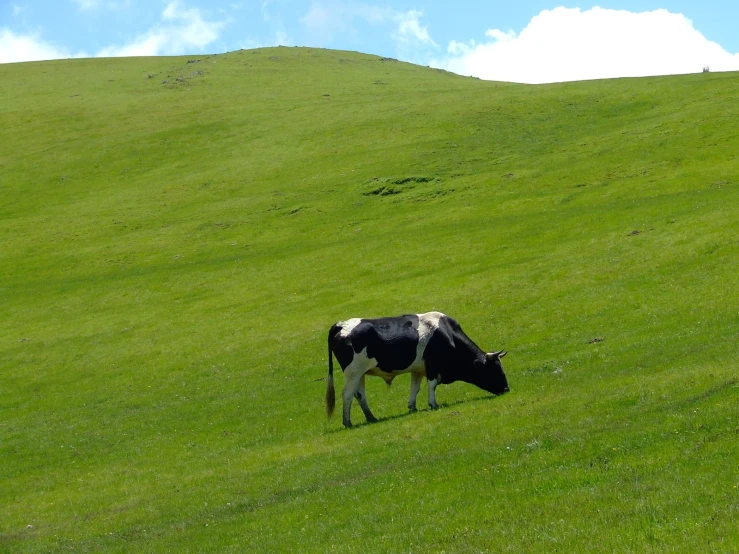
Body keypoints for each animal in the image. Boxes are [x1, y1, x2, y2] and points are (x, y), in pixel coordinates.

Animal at [326, 310, 512, 426]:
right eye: (495, 370)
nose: (506, 389)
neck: (447, 336)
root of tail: (341, 324)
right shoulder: (432, 367)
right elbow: (432, 385)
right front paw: (433, 404)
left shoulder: (418, 370)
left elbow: (414, 388)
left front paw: (412, 407)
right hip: (353, 372)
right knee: (347, 394)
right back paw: (347, 422)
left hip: (360, 373)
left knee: (359, 394)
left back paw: (371, 418)